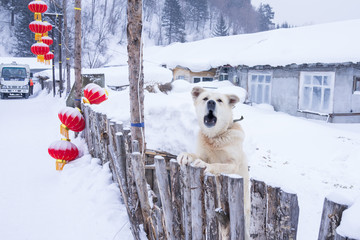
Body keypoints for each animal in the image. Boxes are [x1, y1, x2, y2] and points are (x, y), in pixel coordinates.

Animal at [178, 87, 250, 239]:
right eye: (205, 98)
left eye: (219, 100)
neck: (215, 137)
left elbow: (218, 165)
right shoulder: (202, 153)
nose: (211, 102)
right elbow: (196, 155)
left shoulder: (233, 164)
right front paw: (186, 155)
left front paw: (205, 165)